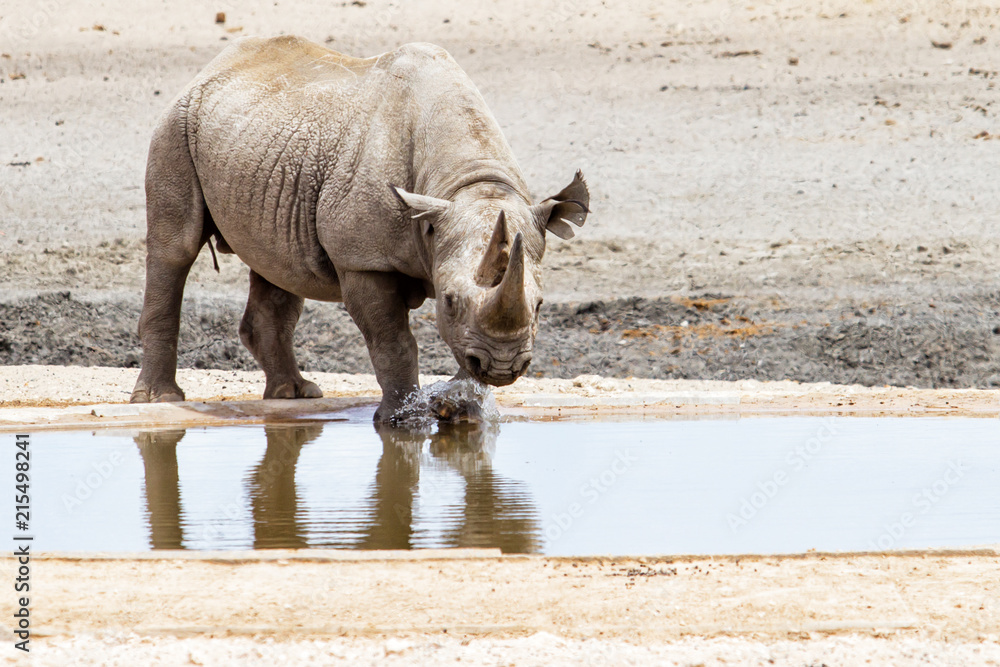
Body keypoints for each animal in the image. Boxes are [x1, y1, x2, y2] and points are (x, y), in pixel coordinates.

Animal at [130, 36, 590, 422]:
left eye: (541, 305)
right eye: (450, 301)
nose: (504, 366)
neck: (468, 183)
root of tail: (211, 68)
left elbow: (462, 344)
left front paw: (464, 412)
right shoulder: (364, 261)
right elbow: (394, 342)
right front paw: (402, 420)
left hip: (261, 145)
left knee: (277, 266)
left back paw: (293, 394)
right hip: (175, 125)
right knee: (176, 248)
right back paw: (159, 398)